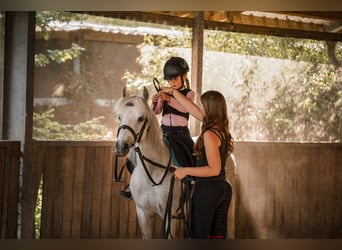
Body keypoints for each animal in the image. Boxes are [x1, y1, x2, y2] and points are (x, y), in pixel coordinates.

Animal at [114, 87, 184, 239]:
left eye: (141, 118)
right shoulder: (143, 213)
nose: (121, 147)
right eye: (119, 117)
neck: (151, 173)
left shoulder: (170, 215)